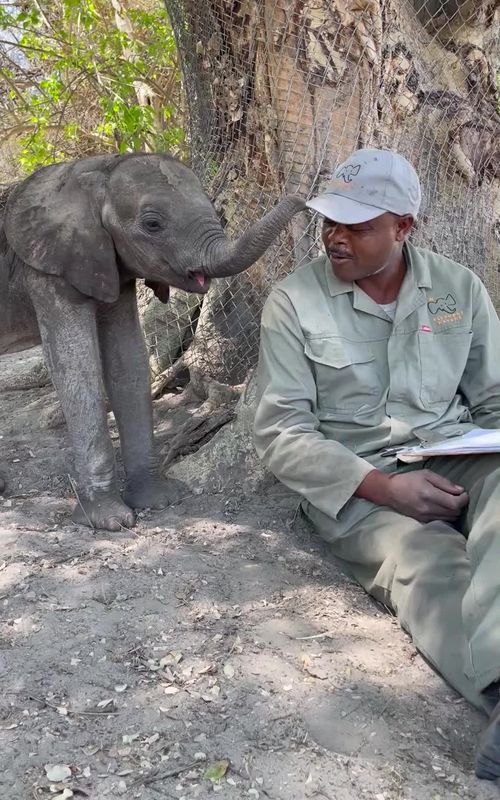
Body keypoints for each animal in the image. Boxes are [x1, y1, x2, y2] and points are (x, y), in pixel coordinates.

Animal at [0, 152, 305, 529]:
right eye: (152, 224)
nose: (304, 200)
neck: (92, 175)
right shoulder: (49, 268)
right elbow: (77, 371)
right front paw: (110, 521)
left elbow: (129, 363)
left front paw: (157, 501)